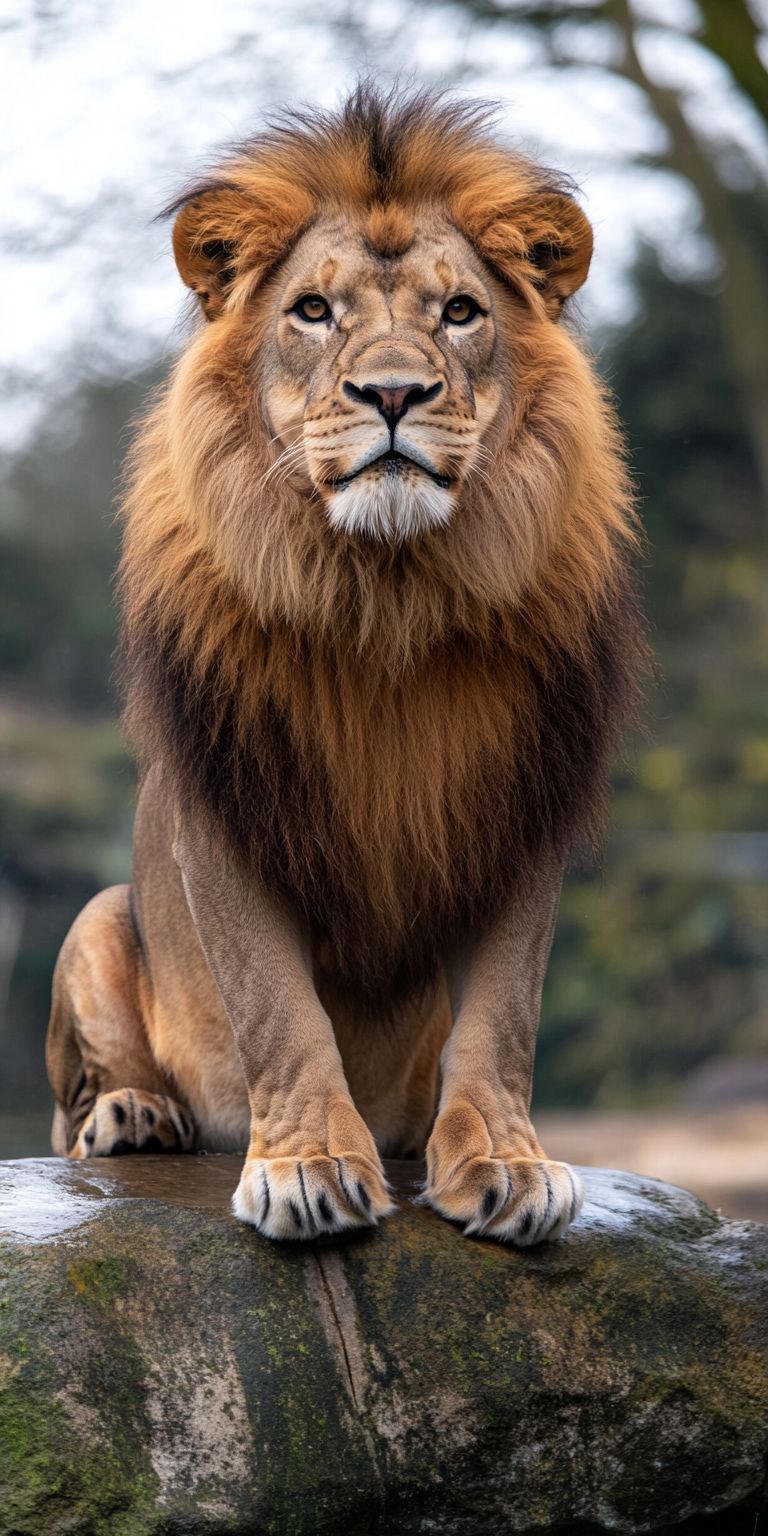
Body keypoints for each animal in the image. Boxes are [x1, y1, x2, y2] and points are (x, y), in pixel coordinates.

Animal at [46, 86, 644, 1245]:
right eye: (314, 312)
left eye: (460, 313)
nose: (394, 394)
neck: (388, 592)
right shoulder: (226, 797)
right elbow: (279, 1006)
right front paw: (309, 1163)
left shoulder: (523, 798)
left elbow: (503, 1010)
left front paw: (506, 1162)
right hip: (97, 916)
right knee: (78, 1105)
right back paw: (134, 1115)